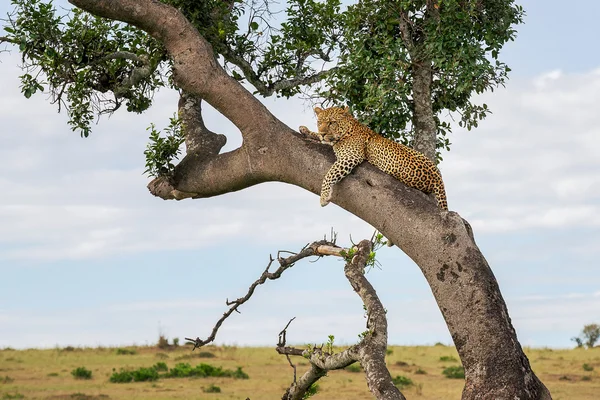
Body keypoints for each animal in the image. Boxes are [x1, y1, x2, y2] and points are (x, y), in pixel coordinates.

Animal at [298, 106, 446, 211]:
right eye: (319, 122)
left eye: (331, 123)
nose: (323, 133)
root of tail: (438, 177)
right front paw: (306, 130)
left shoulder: (350, 156)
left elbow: (329, 175)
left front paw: (323, 197)